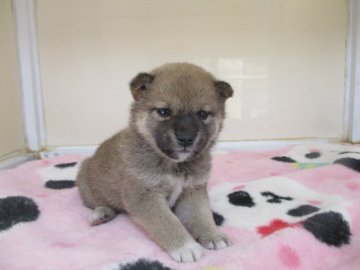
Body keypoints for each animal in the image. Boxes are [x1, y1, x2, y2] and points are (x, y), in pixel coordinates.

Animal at [76, 62, 233, 262]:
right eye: (164, 112)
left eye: (203, 114)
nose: (186, 138)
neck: (174, 165)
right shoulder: (145, 195)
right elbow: (167, 221)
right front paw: (186, 246)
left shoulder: (192, 192)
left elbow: (201, 215)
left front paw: (213, 235)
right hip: (87, 185)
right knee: (99, 204)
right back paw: (101, 213)